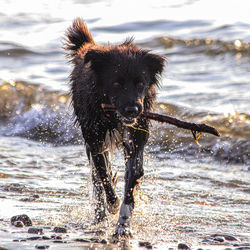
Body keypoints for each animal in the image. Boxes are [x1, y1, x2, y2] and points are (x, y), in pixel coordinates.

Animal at [65, 18, 165, 236]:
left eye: (141, 83)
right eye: (117, 83)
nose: (133, 110)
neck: (113, 116)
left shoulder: (136, 142)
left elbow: (132, 184)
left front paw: (123, 225)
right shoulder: (95, 139)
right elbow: (103, 176)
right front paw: (113, 204)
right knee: (97, 179)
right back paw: (100, 216)